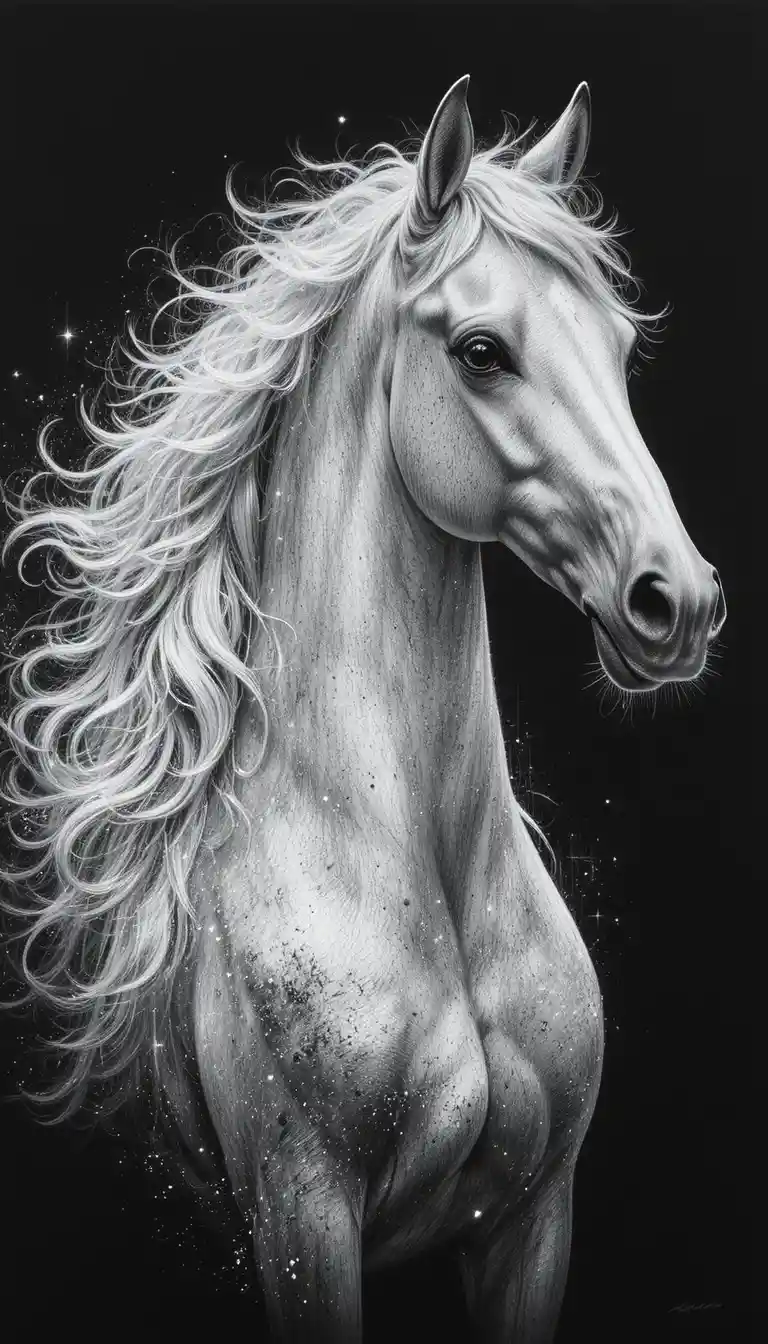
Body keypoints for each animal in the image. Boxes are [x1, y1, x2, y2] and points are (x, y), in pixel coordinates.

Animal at [1, 76, 726, 1342]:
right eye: (482, 351)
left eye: (621, 345)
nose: (674, 601)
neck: (411, 872)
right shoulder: (303, 1225)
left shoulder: (536, 1221)